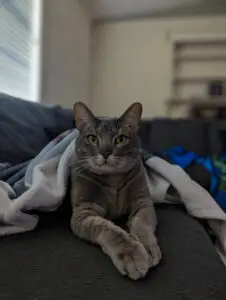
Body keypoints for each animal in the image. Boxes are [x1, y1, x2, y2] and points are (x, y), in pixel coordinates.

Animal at [70, 102, 161, 280]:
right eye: (92, 138)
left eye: (120, 139)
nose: (105, 152)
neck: (113, 180)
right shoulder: (83, 211)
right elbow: (110, 230)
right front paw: (131, 255)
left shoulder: (143, 201)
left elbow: (141, 223)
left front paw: (147, 247)